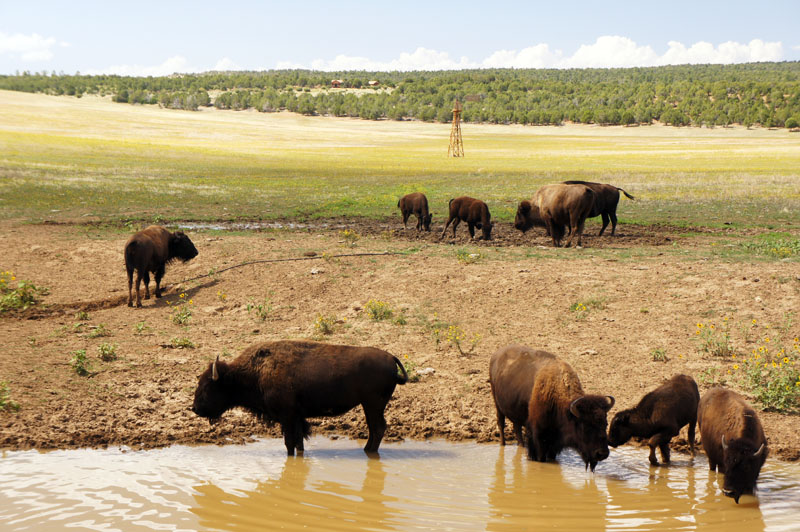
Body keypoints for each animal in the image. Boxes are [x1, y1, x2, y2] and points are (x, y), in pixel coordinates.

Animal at [191, 338, 410, 456]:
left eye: (208, 386)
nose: (195, 408)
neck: (255, 372)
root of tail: (391, 358)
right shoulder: (297, 418)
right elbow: (299, 443)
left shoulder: (287, 417)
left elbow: (290, 443)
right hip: (370, 406)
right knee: (374, 429)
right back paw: (366, 450)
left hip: (373, 405)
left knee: (378, 428)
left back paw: (369, 452)